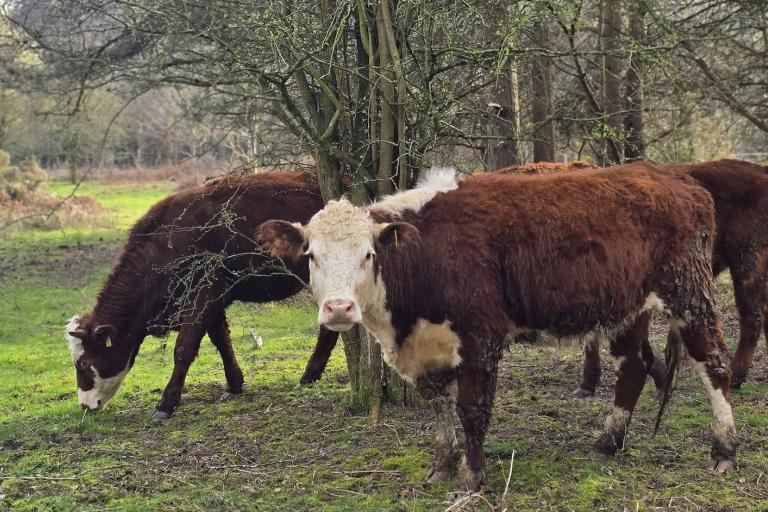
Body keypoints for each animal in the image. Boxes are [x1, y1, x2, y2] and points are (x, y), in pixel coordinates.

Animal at [66, 171, 339, 419]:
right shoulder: (213, 299)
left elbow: (184, 348)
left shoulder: (203, 294)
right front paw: (235, 383)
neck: (168, 242)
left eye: (83, 363)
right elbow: (221, 339)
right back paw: (311, 374)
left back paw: (310, 373)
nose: (84, 405)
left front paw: (166, 403)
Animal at [256, 163, 737, 491]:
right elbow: (439, 408)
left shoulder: (479, 337)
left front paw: (471, 479)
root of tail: (675, 177)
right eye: (311, 255)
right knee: (633, 367)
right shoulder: (428, 349)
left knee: (713, 366)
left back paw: (724, 451)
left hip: (689, 294)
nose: (338, 308)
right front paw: (440, 467)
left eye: (369, 254)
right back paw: (607, 442)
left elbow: (471, 409)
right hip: (628, 308)